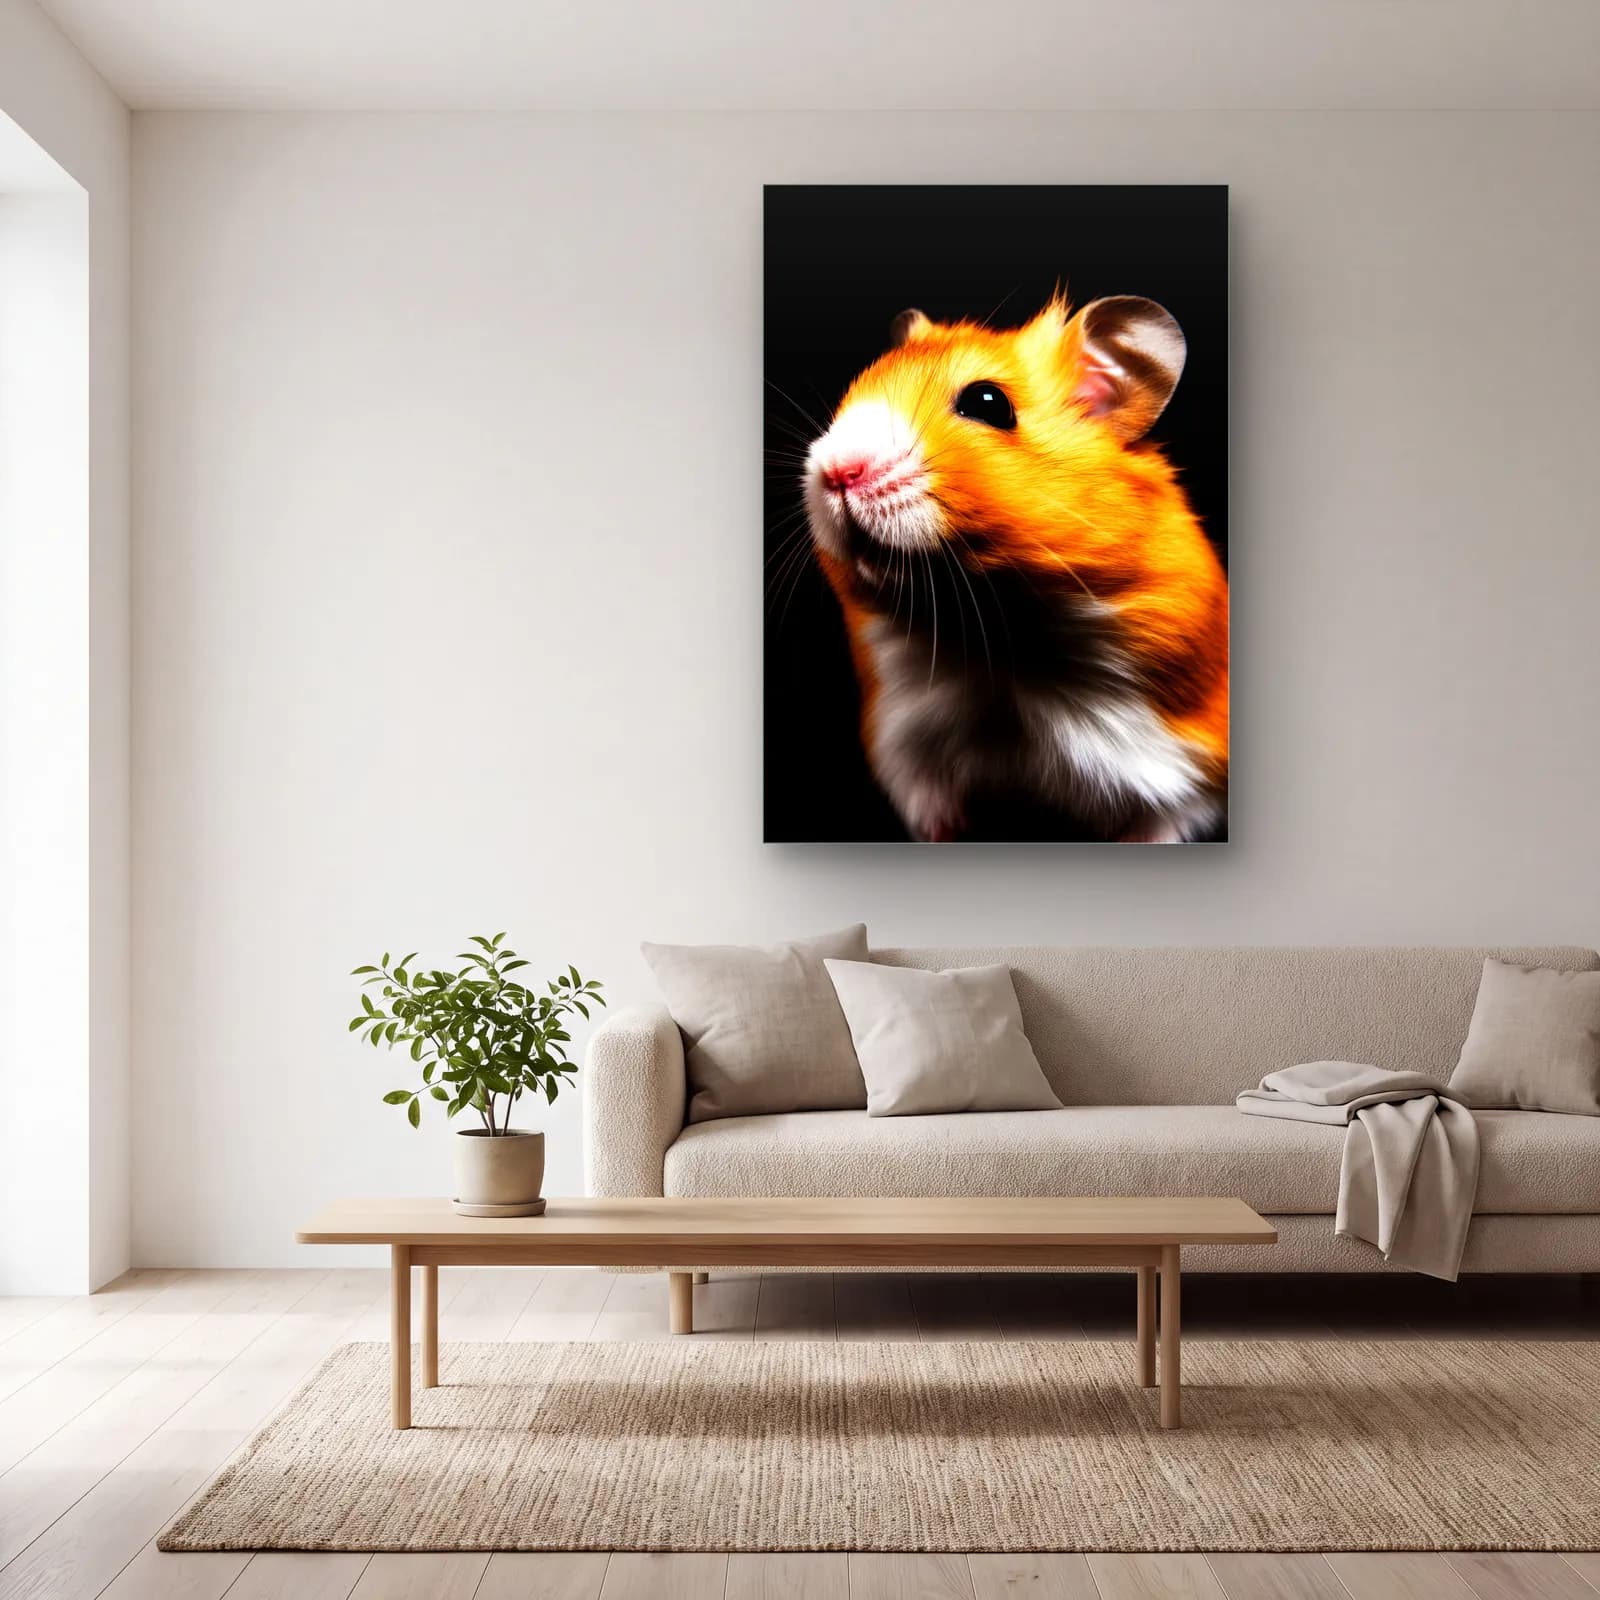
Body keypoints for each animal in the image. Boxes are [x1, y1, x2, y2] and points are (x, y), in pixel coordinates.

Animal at [801, 293, 1228, 843]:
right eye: (857, 387)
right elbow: (926, 804)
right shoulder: (904, 748)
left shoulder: (1191, 767)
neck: (993, 640)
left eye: (988, 403)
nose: (836, 471)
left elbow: (1164, 823)